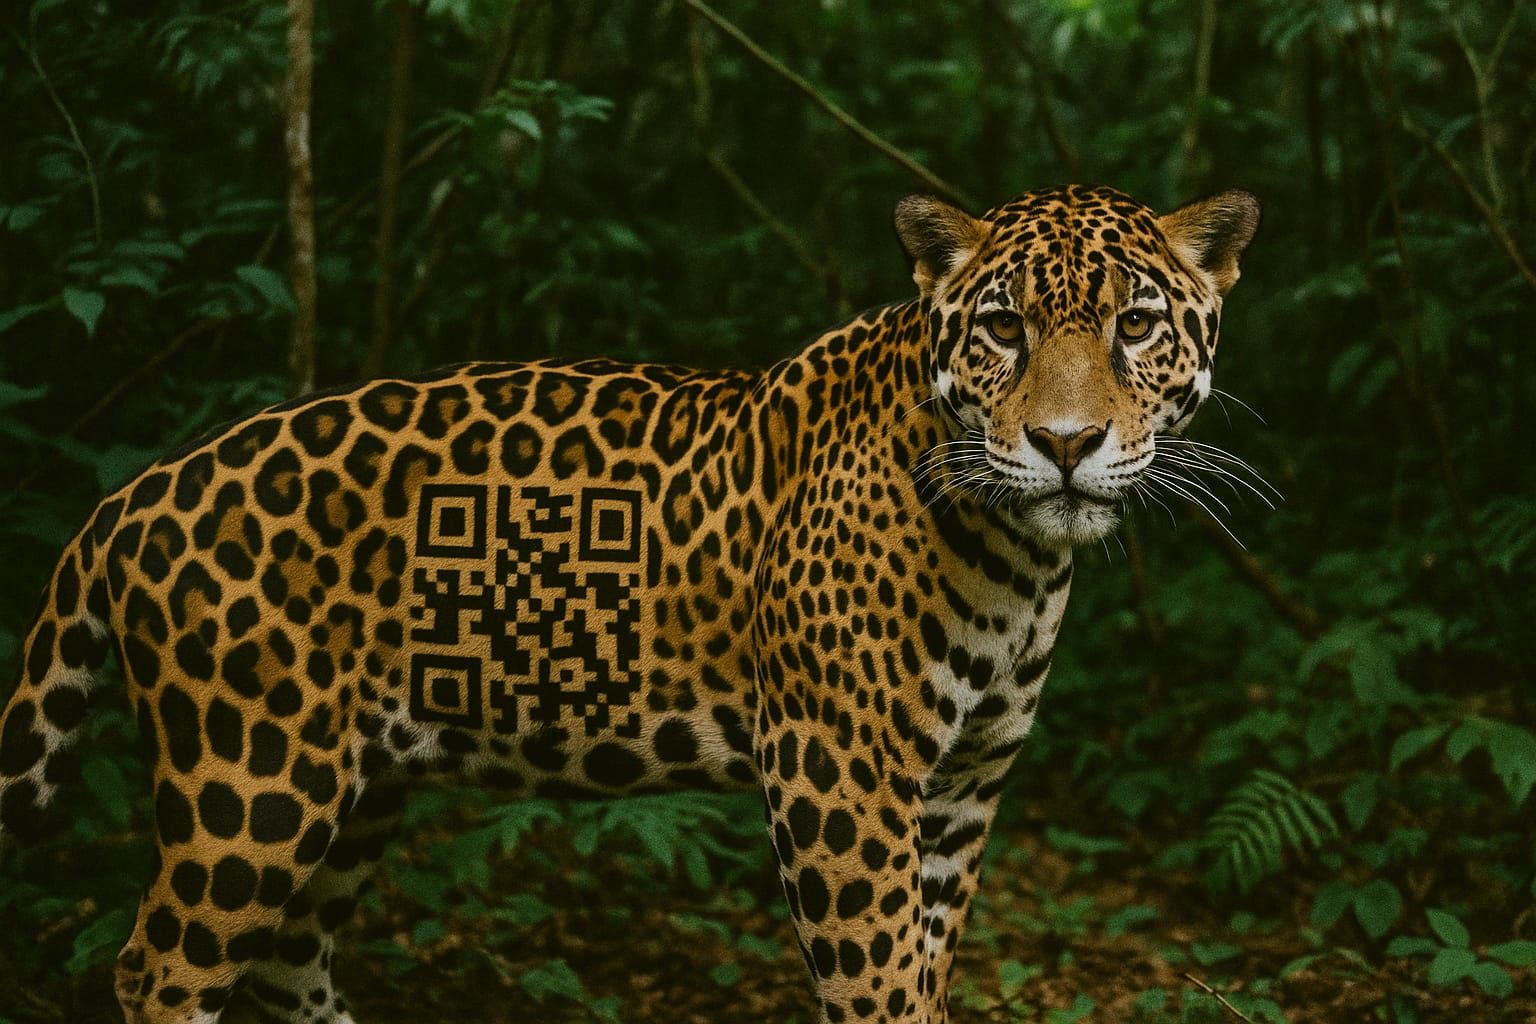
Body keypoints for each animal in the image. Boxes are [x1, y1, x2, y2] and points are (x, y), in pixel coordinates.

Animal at [0, 183, 1259, 1024]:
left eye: (1136, 325)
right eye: (1002, 328)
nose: (1064, 444)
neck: (1015, 562)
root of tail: (132, 495)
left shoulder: (961, 787)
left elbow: (927, 967)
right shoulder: (838, 776)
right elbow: (881, 987)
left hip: (360, 790)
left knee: (282, 964)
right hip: (249, 781)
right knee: (160, 967)